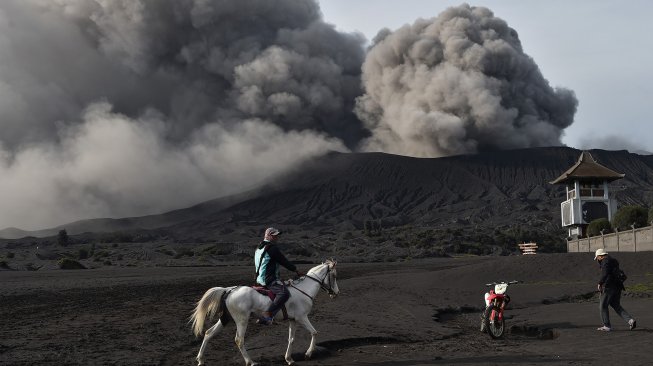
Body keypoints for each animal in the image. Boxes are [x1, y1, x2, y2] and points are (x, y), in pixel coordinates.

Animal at [190, 258, 338, 364]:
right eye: (334, 276)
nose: (336, 293)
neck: (303, 290)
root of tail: (230, 290)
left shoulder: (293, 320)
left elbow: (291, 339)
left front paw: (289, 359)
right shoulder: (302, 317)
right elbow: (314, 332)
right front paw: (308, 354)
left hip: (225, 319)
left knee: (208, 334)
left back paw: (200, 360)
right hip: (241, 320)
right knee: (239, 340)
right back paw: (250, 362)